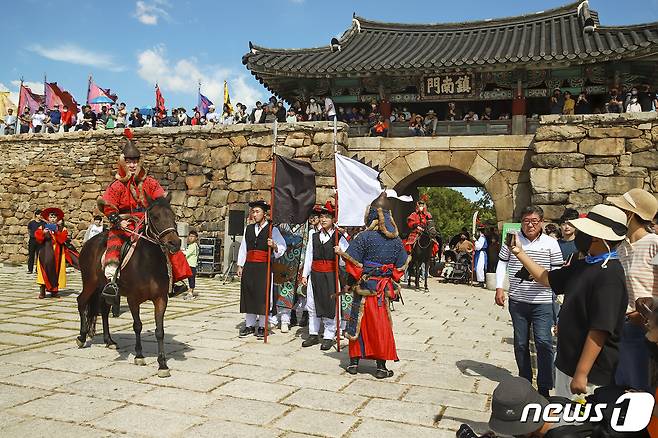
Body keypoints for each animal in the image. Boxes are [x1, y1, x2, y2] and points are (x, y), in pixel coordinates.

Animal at [76, 193, 179, 378]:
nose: (175, 243)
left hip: (102, 288)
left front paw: (162, 364)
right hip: (89, 282)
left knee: (103, 310)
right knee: (81, 302)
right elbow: (137, 326)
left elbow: (159, 331)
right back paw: (81, 338)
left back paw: (109, 340)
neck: (148, 263)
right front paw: (139, 355)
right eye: (155, 216)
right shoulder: (133, 299)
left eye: (173, 215)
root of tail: (89, 243)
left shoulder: (161, 299)